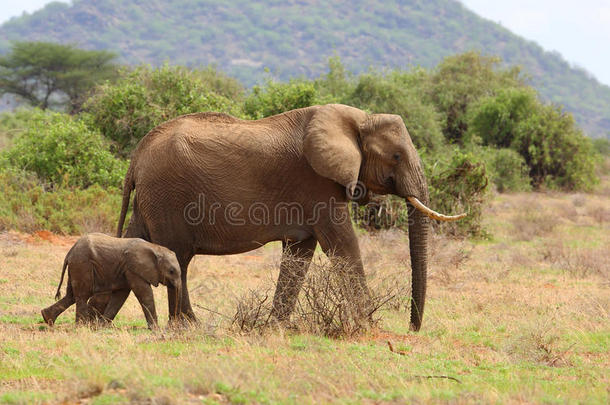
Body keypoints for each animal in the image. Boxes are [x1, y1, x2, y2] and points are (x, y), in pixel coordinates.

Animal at [41, 234, 180, 328]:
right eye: (171, 271)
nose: (171, 324)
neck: (156, 248)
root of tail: (70, 252)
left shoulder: (125, 271)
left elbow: (121, 296)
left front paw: (102, 326)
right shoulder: (133, 269)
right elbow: (144, 294)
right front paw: (156, 329)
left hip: (77, 265)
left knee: (71, 296)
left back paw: (47, 318)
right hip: (82, 264)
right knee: (82, 295)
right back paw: (82, 326)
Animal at [114, 102, 460, 330]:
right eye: (397, 156)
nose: (412, 329)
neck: (360, 119)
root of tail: (136, 156)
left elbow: (300, 254)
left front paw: (274, 328)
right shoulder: (317, 183)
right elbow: (343, 244)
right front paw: (369, 326)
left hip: (151, 200)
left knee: (136, 246)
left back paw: (106, 320)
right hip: (167, 196)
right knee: (179, 258)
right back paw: (189, 327)